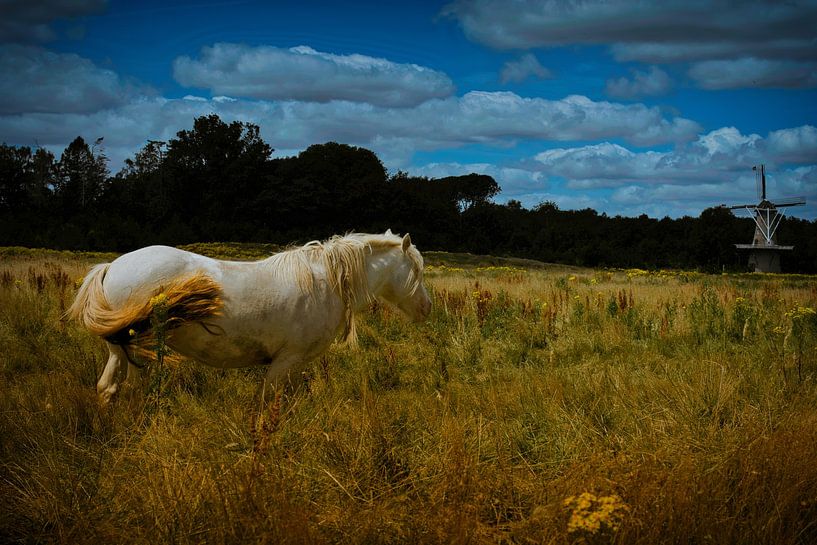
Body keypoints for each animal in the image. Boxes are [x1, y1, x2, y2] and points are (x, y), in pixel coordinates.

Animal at [68, 231, 432, 403]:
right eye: (416, 269)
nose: (426, 308)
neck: (325, 281)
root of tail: (113, 266)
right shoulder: (286, 361)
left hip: (123, 351)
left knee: (111, 388)